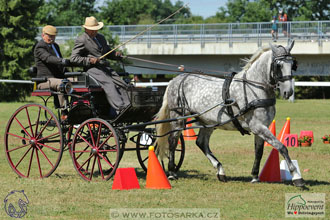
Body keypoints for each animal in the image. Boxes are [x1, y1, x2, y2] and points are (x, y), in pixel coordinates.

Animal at [155, 40, 304, 186]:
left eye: (293, 64)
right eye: (278, 65)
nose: (288, 92)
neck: (254, 87)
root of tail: (176, 79)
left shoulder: (262, 127)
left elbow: (259, 152)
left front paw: (255, 176)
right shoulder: (257, 126)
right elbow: (281, 147)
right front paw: (297, 177)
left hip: (208, 122)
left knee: (201, 143)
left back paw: (220, 171)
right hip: (178, 119)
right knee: (173, 141)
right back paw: (172, 172)